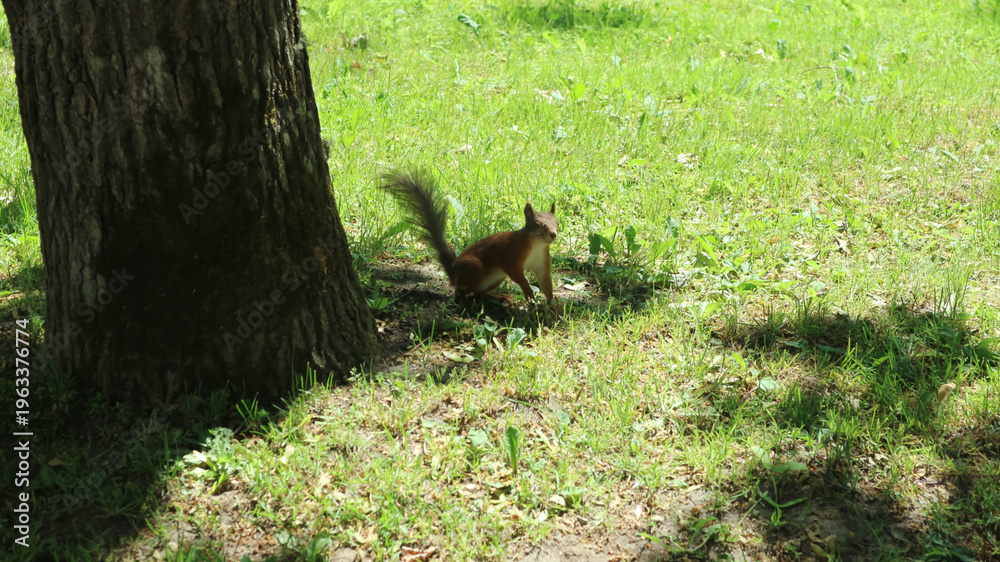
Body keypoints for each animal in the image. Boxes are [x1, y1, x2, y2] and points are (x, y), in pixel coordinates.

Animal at [380, 169, 558, 307]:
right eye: (537, 225)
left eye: (557, 222)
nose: (553, 234)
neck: (536, 245)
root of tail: (454, 273)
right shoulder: (510, 255)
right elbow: (517, 274)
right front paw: (529, 293)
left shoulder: (541, 261)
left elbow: (545, 281)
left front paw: (550, 303)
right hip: (474, 269)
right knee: (459, 295)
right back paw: (465, 303)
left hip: (497, 277)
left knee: (480, 293)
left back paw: (498, 297)